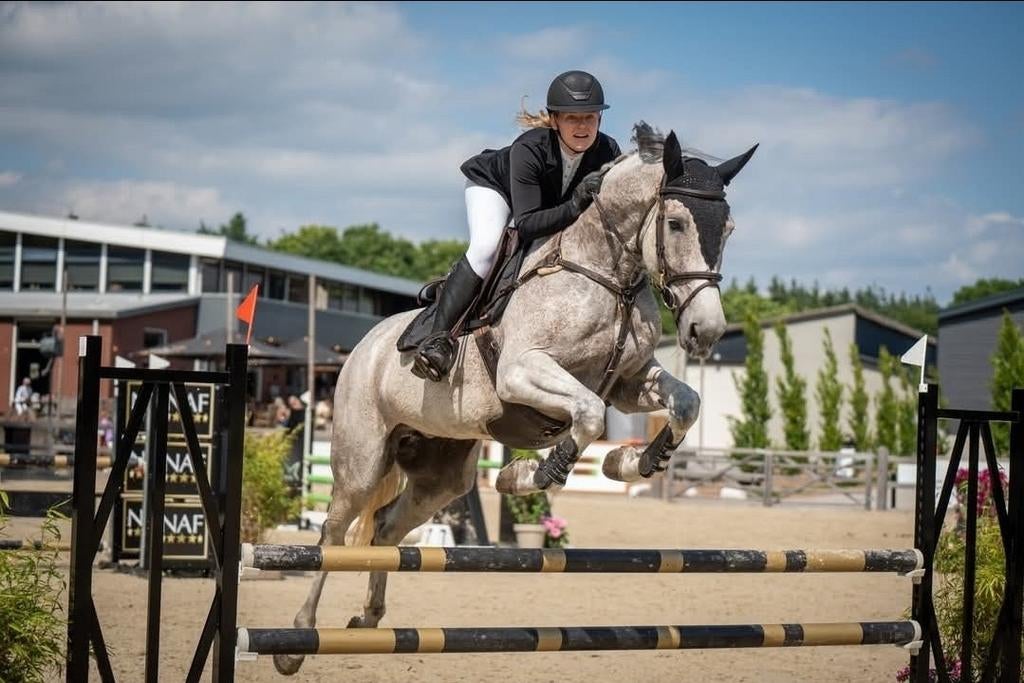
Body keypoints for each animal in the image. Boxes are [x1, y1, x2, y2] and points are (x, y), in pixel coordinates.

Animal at [274, 122, 756, 676]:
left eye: (728, 229)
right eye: (675, 223)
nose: (706, 331)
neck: (607, 275)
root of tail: (362, 348)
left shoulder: (629, 382)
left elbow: (685, 402)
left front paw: (632, 462)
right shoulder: (522, 372)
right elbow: (588, 415)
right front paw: (527, 474)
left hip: (442, 474)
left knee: (386, 528)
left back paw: (368, 618)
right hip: (361, 461)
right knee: (333, 535)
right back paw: (297, 639)